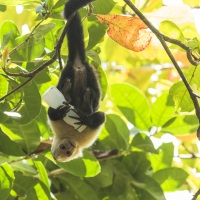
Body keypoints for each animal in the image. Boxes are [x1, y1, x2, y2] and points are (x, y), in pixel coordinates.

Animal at [47, 0, 105, 162]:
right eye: (64, 150)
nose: (70, 147)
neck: (70, 137)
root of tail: (77, 63)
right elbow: (51, 112)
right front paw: (60, 111)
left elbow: (100, 117)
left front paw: (86, 120)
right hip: (80, 71)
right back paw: (70, 92)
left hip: (86, 73)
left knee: (96, 105)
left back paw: (86, 102)